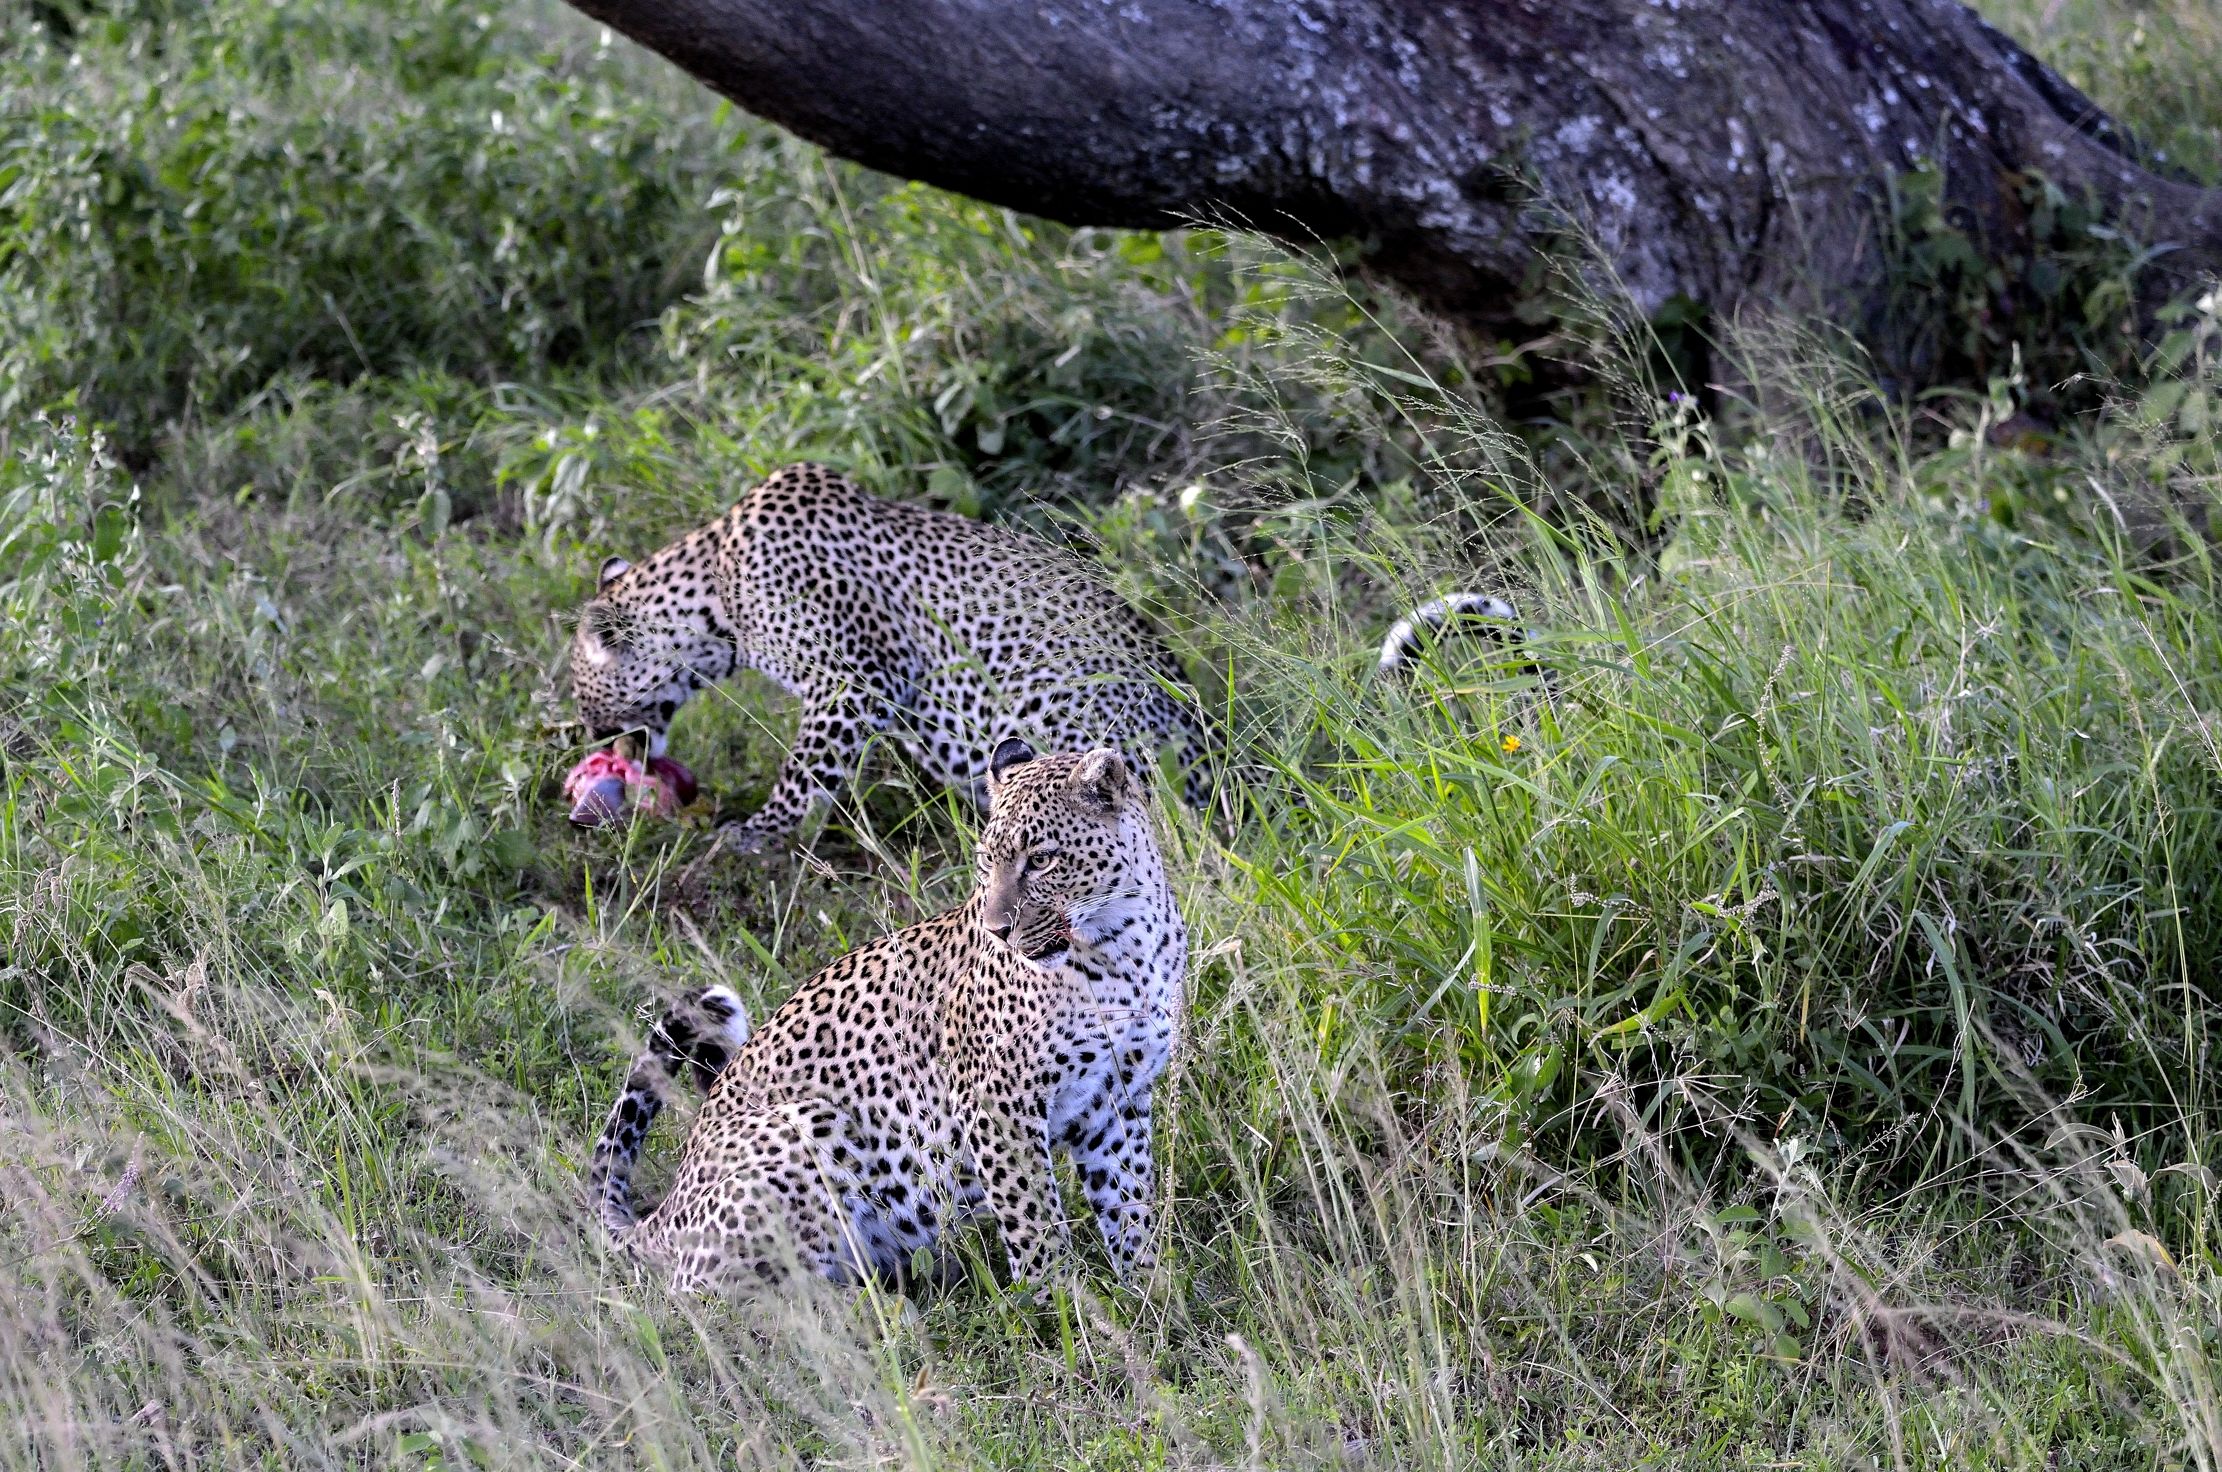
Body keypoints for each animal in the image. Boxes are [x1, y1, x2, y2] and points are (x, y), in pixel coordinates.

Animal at [568, 462, 1213, 852]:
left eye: (589, 710)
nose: (611, 749)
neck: (714, 593)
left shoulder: (853, 681)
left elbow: (801, 775)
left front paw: (756, 836)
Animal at [586, 740, 1186, 1292]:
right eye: (986, 863)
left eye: (1041, 859)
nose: (997, 930)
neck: (1120, 946)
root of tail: (662, 1216)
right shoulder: (996, 1105)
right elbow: (1033, 1220)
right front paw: (1058, 1307)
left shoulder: (1118, 1101)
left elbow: (1130, 1205)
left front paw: (1150, 1294)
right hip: (803, 1131)